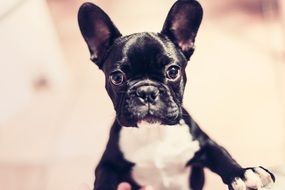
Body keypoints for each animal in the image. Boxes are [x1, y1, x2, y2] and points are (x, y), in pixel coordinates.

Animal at [76, 0, 274, 190]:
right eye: (117, 77)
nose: (147, 91)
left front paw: (243, 173)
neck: (153, 133)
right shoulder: (107, 163)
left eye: (172, 71)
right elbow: (104, 175)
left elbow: (220, 155)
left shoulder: (202, 144)